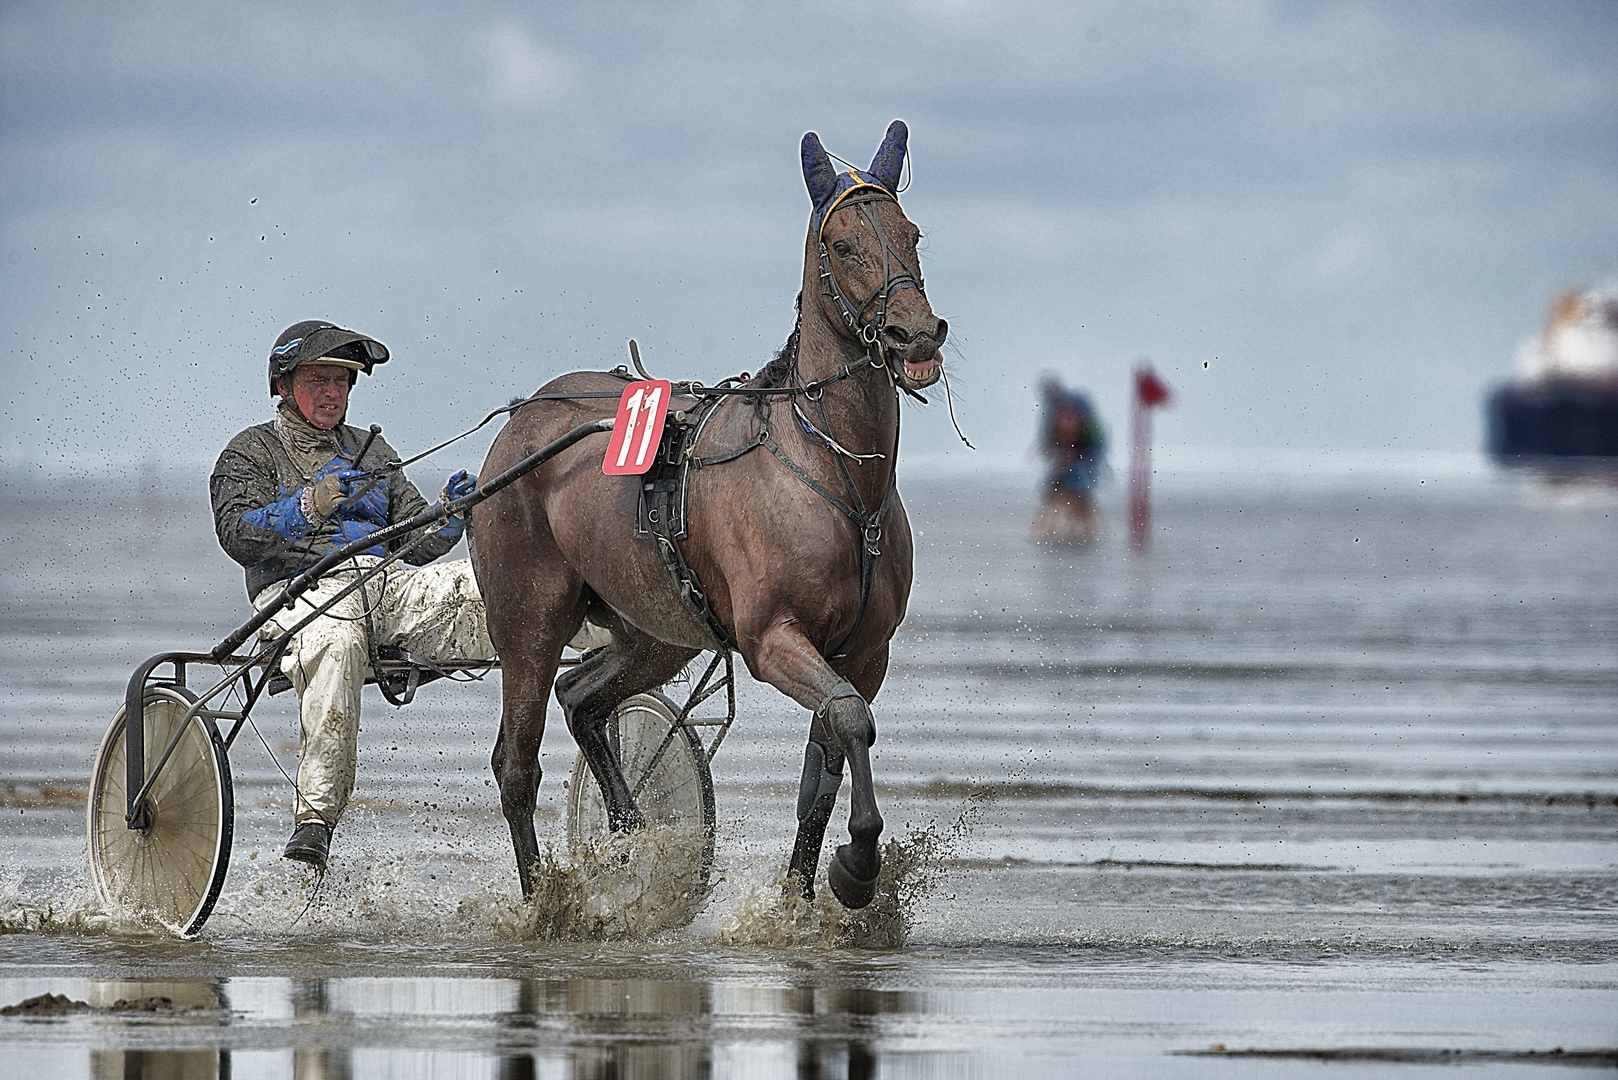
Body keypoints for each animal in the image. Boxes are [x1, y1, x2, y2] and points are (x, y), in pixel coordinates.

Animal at [469, 120, 944, 913]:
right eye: (842, 244)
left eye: (912, 235)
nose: (917, 336)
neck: (837, 474)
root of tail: (522, 420)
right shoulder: (771, 638)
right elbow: (851, 718)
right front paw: (857, 864)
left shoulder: (864, 653)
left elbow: (827, 764)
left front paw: (800, 898)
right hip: (527, 619)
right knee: (517, 762)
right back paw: (544, 902)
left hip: (657, 626)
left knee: (582, 698)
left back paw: (631, 826)